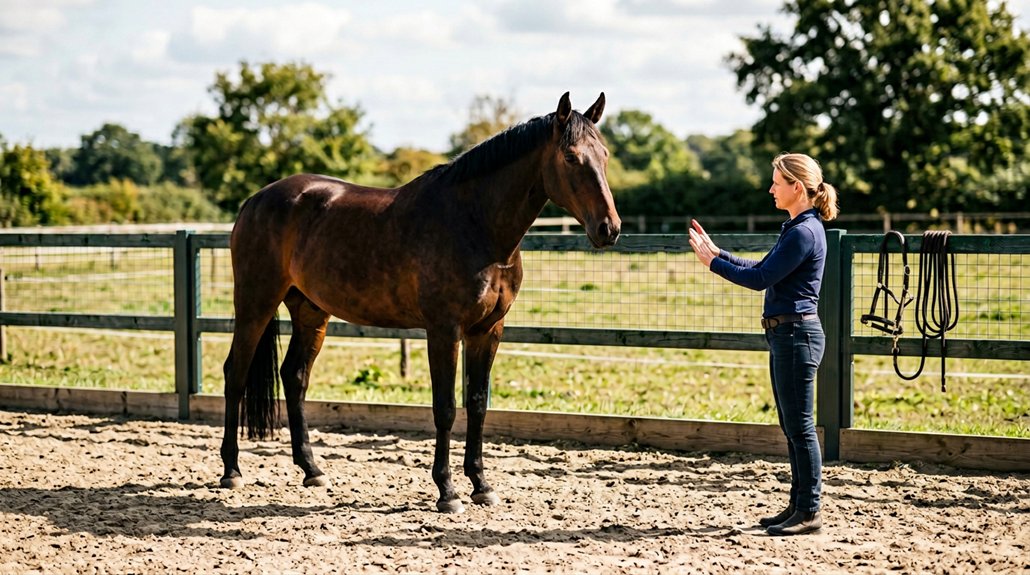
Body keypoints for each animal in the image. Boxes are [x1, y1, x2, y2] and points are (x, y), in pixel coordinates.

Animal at [220, 92, 621, 513]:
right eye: (571, 157)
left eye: (605, 154)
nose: (609, 229)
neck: (475, 224)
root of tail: (255, 200)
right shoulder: (444, 331)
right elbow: (445, 408)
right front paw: (447, 491)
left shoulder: (488, 331)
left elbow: (477, 403)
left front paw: (481, 484)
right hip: (255, 303)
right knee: (236, 373)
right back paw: (232, 471)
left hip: (311, 311)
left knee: (295, 377)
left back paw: (312, 470)